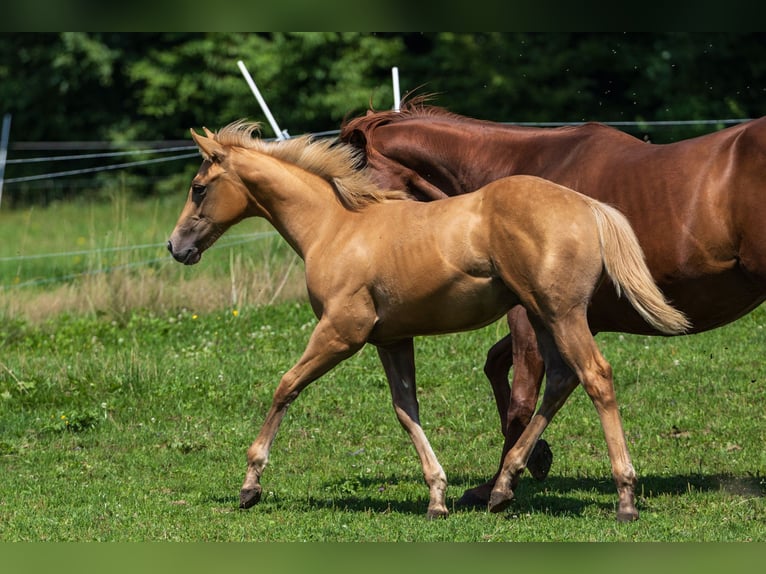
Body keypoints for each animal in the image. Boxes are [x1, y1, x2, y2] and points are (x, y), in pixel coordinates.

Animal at [167, 120, 689, 521]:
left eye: (198, 188)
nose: (175, 247)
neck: (335, 226)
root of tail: (589, 206)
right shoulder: (392, 339)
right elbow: (406, 409)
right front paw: (437, 496)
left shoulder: (340, 333)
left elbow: (286, 387)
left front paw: (250, 485)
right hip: (543, 318)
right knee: (562, 380)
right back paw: (503, 488)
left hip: (561, 315)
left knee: (595, 377)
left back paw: (624, 499)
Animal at [340, 99, 766, 505]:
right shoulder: (551, 317)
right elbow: (499, 368)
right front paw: (536, 457)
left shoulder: (531, 319)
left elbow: (522, 401)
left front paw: (498, 485)